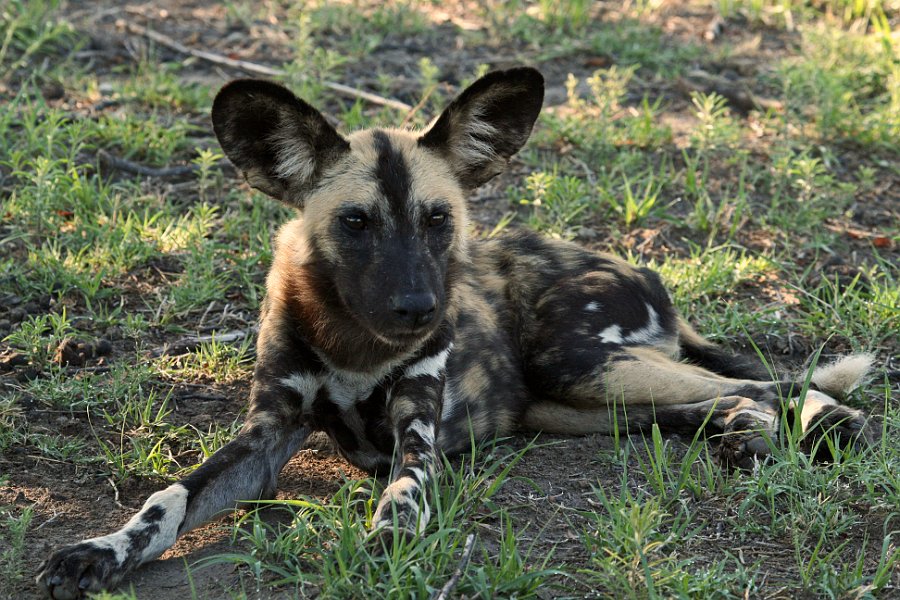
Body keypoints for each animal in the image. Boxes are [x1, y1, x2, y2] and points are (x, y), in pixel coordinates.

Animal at [38, 68, 876, 596]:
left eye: (439, 219)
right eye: (355, 223)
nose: (418, 307)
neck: (354, 341)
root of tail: (636, 267)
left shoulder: (418, 428)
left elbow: (406, 490)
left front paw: (388, 539)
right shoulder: (265, 439)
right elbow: (167, 500)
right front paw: (102, 552)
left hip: (578, 362)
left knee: (765, 379)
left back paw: (824, 424)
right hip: (579, 401)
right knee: (715, 398)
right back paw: (749, 435)